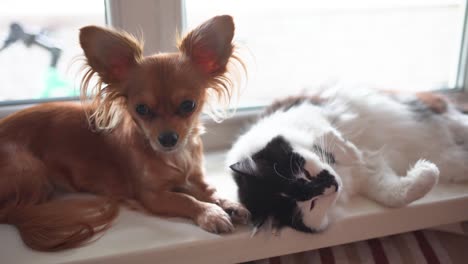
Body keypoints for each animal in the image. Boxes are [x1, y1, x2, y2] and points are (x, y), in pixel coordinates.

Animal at [0, 15, 249, 251]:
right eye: (141, 109)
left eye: (189, 105)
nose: (167, 139)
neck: (176, 157)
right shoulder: (152, 195)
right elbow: (185, 199)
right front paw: (210, 213)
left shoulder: (194, 177)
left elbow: (209, 190)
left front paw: (228, 204)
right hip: (31, 170)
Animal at [227, 88, 468, 233]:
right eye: (312, 203)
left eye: (305, 174)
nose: (331, 185)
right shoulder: (370, 176)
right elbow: (396, 195)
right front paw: (426, 171)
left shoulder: (303, 111)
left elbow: (328, 134)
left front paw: (351, 152)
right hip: (453, 161)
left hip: (443, 115)